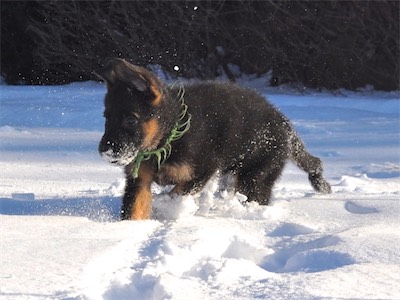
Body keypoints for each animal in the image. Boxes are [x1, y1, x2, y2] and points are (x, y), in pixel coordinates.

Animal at [94, 58, 332, 220]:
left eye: (131, 120)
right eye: (106, 117)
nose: (105, 151)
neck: (169, 137)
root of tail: (286, 125)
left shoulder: (202, 171)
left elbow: (175, 194)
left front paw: (167, 208)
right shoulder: (139, 180)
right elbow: (135, 210)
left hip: (255, 177)